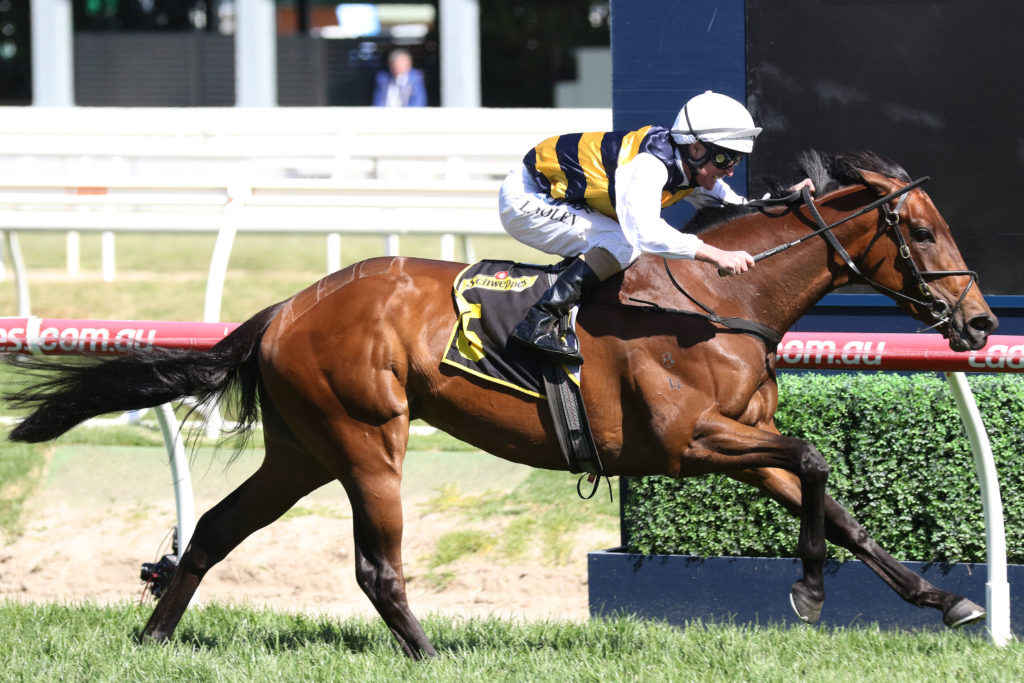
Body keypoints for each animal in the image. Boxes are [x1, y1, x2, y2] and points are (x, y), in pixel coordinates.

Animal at [4, 150, 997, 659]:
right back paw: (432, 655)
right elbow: (818, 462)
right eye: (918, 229)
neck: (721, 300)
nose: (982, 321)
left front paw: (946, 599)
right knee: (377, 565)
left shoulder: (743, 437)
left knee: (212, 528)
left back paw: (153, 635)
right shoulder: (691, 441)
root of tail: (283, 308)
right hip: (366, 440)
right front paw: (808, 589)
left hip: (301, 449)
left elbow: (834, 501)